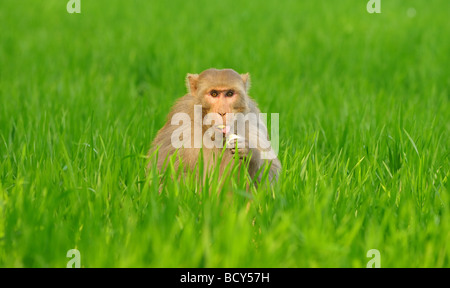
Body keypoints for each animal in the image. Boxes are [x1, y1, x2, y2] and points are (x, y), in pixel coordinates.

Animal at [148, 68, 282, 186]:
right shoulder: (180, 121)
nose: (222, 112)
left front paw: (249, 153)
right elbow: (163, 173)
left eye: (229, 94)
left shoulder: (252, 119)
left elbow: (271, 175)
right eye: (214, 94)